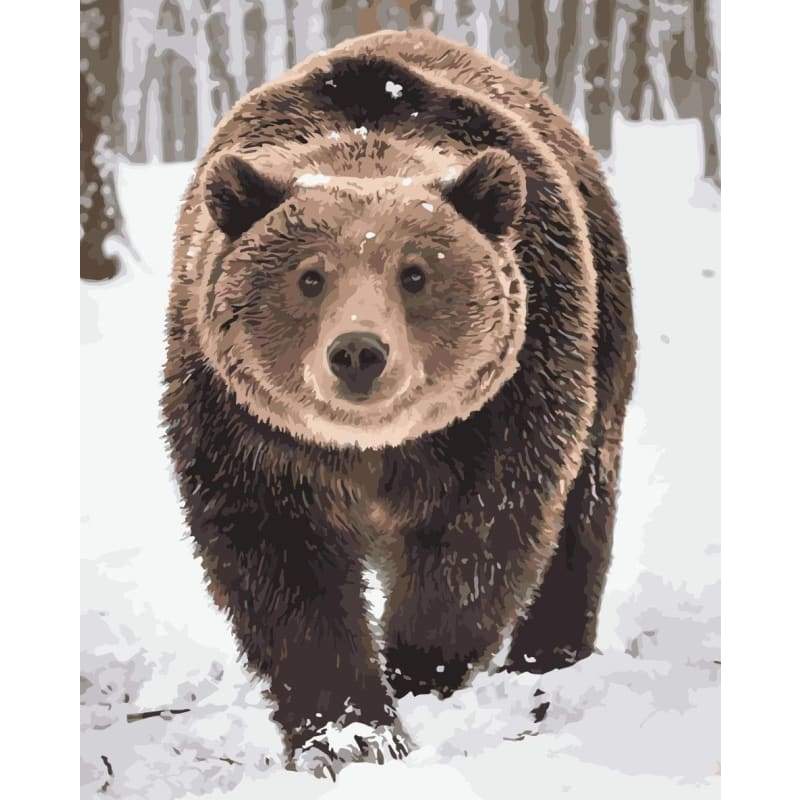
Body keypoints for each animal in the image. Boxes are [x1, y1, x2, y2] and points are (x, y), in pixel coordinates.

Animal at [162, 29, 635, 776]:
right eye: (310, 277)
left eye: (415, 274)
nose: (359, 352)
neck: (373, 449)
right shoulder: (240, 425)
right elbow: (282, 567)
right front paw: (350, 732)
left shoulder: (510, 397)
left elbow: (484, 537)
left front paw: (415, 669)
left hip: (603, 331)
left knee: (583, 508)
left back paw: (548, 658)